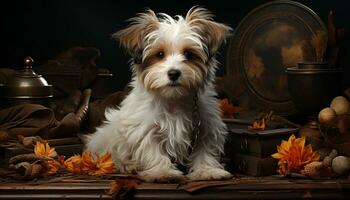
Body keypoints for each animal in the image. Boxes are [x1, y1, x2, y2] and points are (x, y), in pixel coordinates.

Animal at [85, 6, 232, 182]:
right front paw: (162, 172)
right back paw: (130, 165)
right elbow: (153, 150)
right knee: (114, 155)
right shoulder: (145, 128)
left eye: (188, 54)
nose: (174, 73)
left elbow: (205, 150)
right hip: (108, 138)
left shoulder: (205, 126)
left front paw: (207, 170)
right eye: (160, 54)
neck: (174, 98)